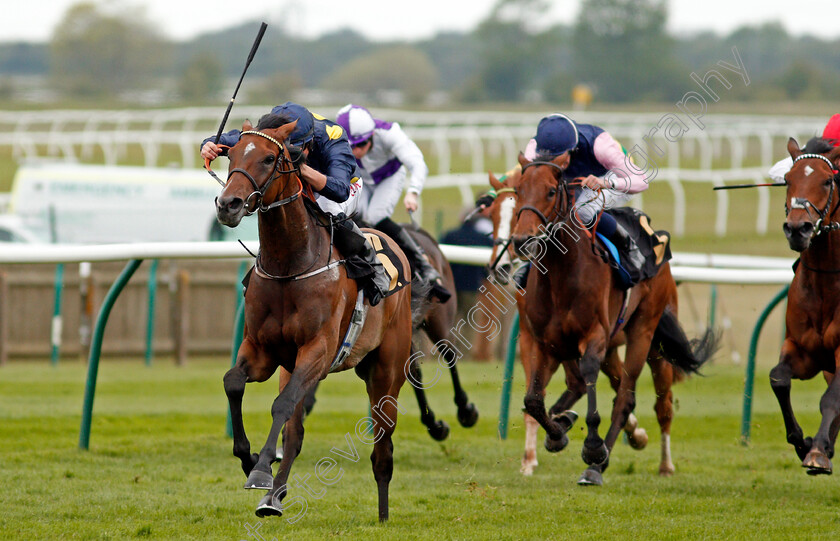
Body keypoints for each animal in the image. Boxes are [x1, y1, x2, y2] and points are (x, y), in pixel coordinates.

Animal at [217, 118, 414, 520]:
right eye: (231, 154)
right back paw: (273, 498)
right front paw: (249, 460)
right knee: (294, 432)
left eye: (270, 157)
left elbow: (281, 405)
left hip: (386, 371)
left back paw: (383, 513)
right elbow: (234, 382)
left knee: (382, 443)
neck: (289, 266)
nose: (228, 204)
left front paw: (260, 470)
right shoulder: (263, 351)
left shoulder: (318, 350)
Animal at [506, 153, 716, 486]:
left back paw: (618, 464)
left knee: (640, 401)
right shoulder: (542, 342)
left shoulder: (594, 337)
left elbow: (590, 388)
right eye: (517, 191)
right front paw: (557, 432)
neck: (560, 277)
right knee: (616, 391)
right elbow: (533, 400)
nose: (522, 241)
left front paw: (592, 447)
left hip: (646, 334)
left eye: (551, 191)